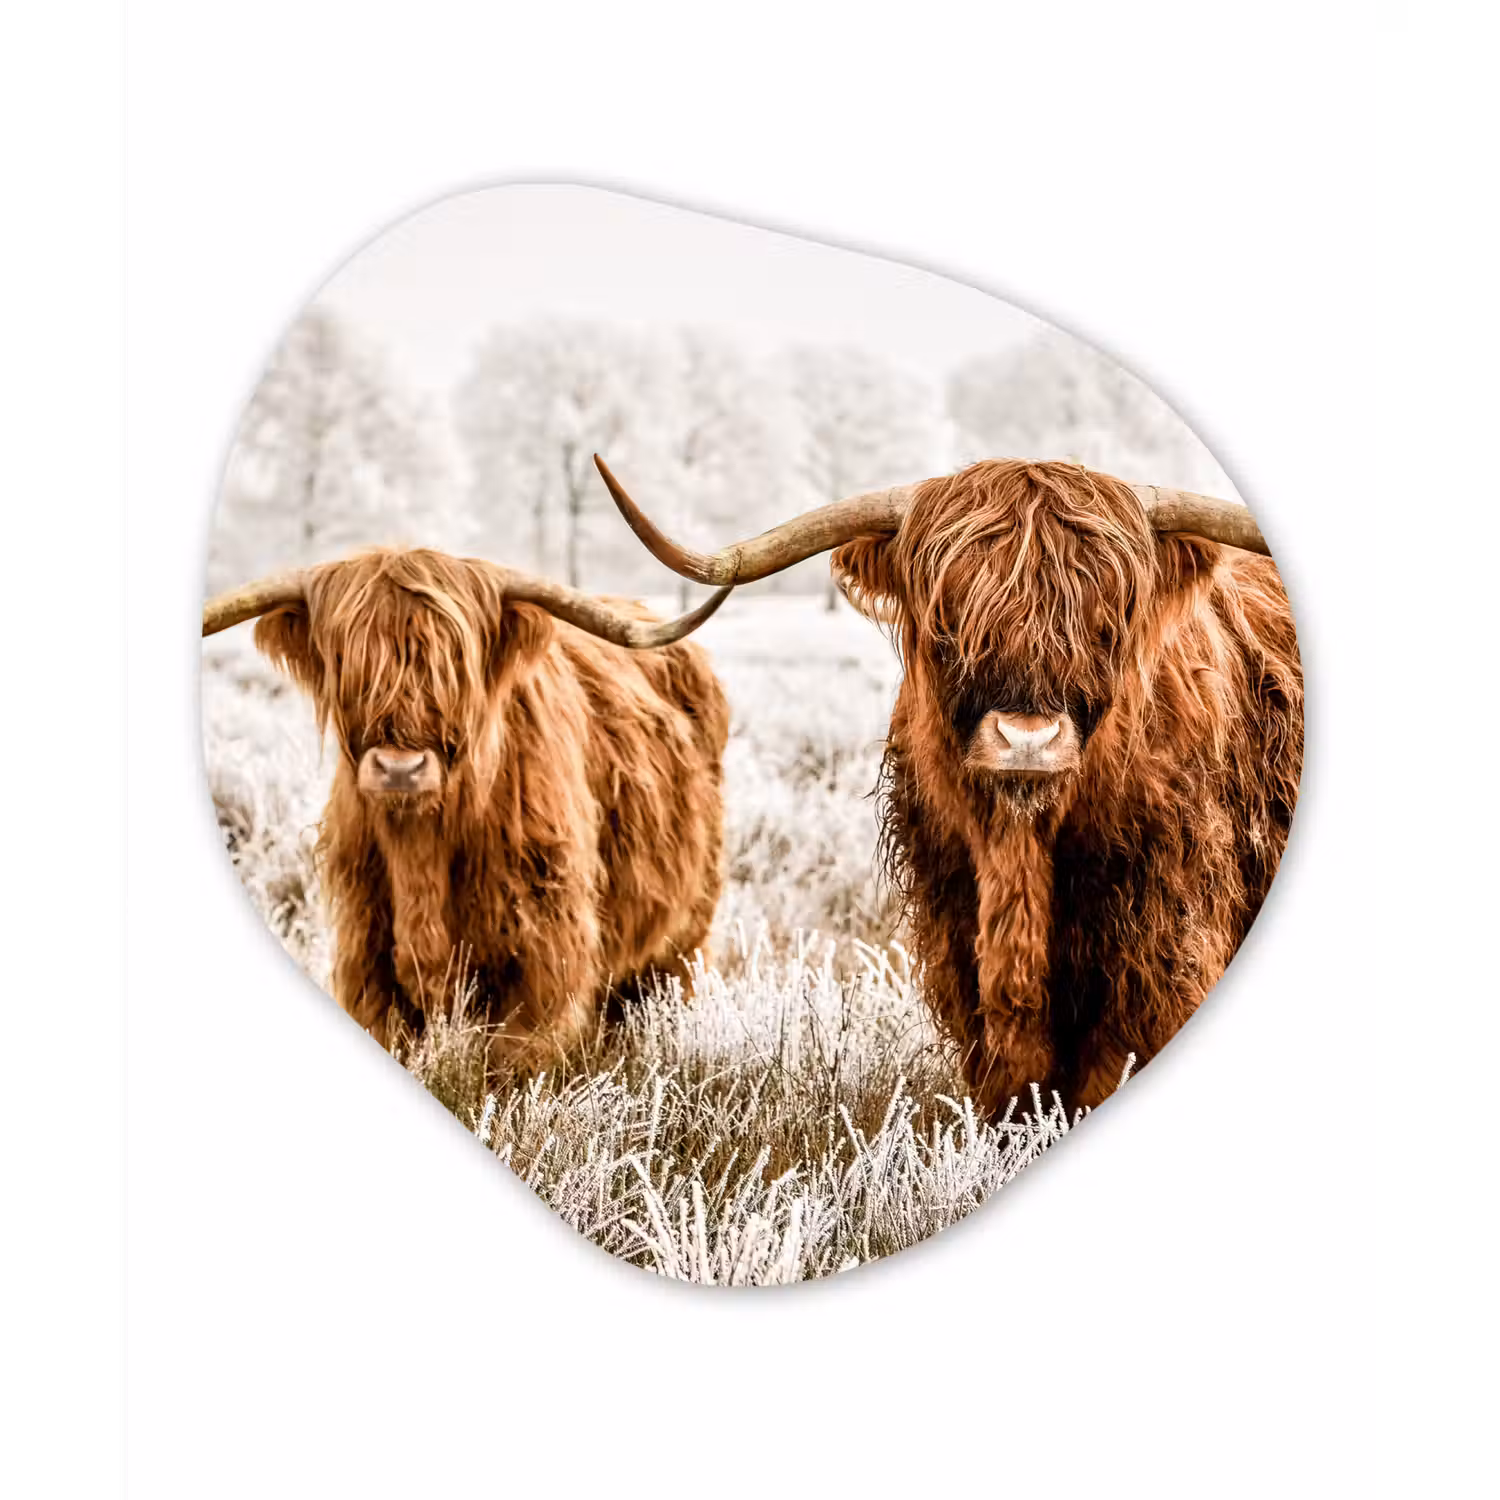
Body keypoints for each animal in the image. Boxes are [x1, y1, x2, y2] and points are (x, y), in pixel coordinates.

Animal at [202, 548, 732, 1075]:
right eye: (344, 660)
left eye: (456, 664)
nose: (400, 769)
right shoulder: (365, 954)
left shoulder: (542, 958)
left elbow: (514, 1063)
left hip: (684, 935)